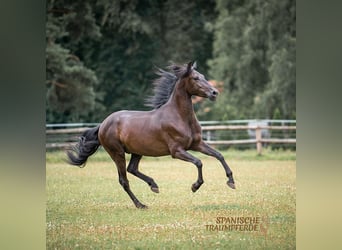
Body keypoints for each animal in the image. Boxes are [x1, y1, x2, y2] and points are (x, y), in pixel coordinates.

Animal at [67, 61, 235, 209]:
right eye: (195, 78)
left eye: (203, 76)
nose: (214, 93)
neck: (179, 117)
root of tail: (103, 124)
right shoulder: (177, 151)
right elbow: (199, 162)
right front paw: (195, 186)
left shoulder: (197, 144)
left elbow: (219, 155)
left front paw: (231, 181)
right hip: (117, 153)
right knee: (124, 180)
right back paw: (140, 204)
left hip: (136, 151)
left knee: (132, 169)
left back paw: (153, 185)